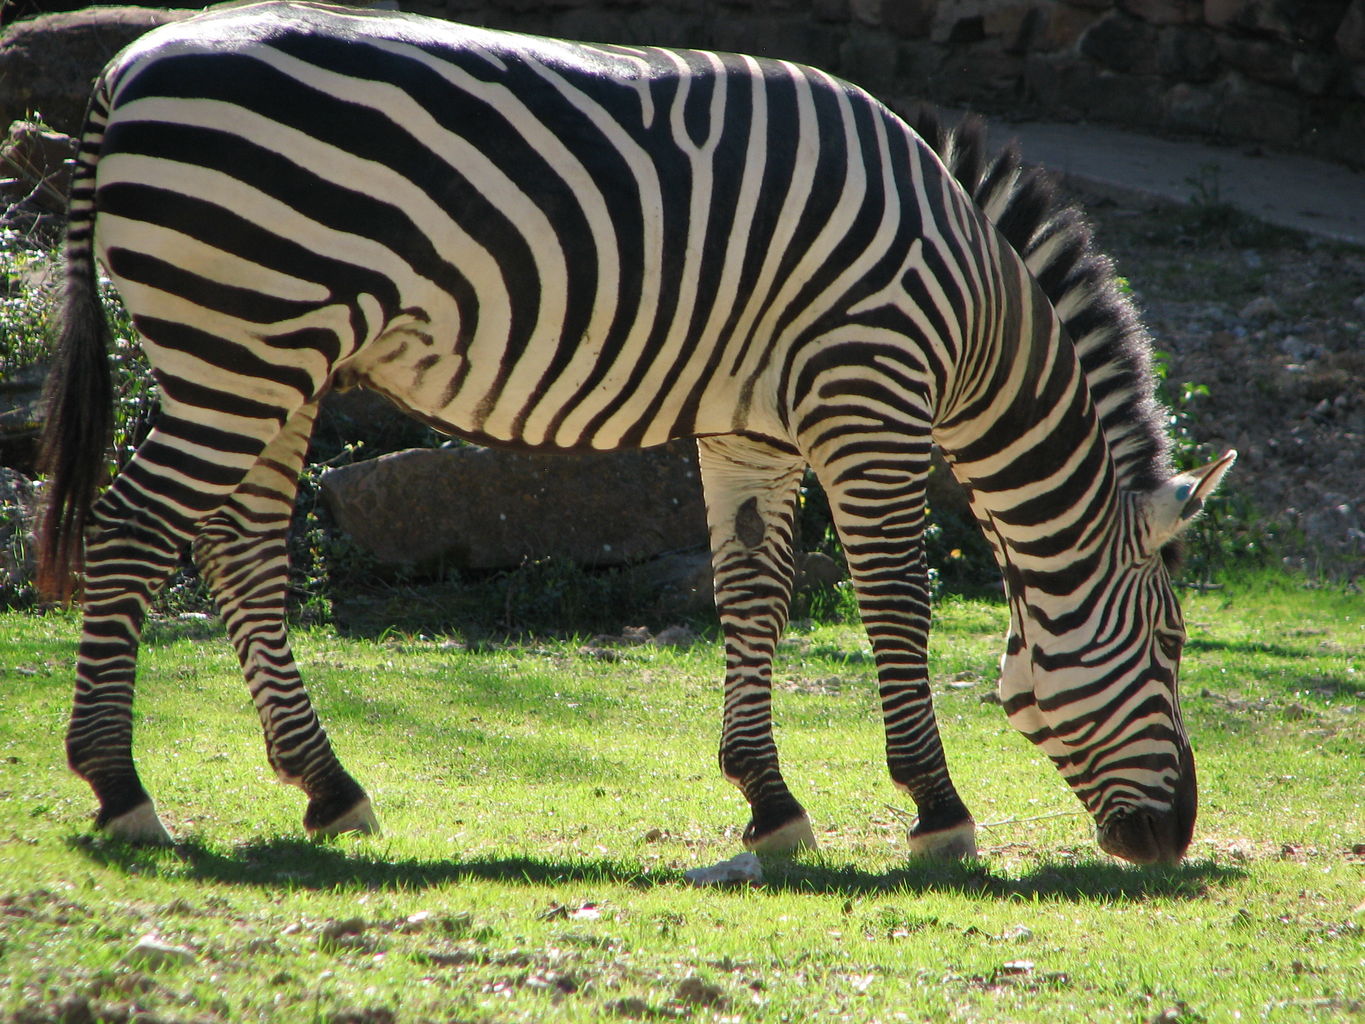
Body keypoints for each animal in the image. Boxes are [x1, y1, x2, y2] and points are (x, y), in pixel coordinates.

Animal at [39, 0, 1239, 868]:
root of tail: (127, 64)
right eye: (1174, 645)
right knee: (132, 531)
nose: (1171, 842)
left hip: (274, 361)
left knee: (238, 555)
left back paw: (329, 790)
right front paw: (939, 813)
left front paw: (770, 805)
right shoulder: (871, 399)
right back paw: (118, 787)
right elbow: (897, 604)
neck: (976, 308)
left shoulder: (756, 430)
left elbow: (753, 598)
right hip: (240, 340)